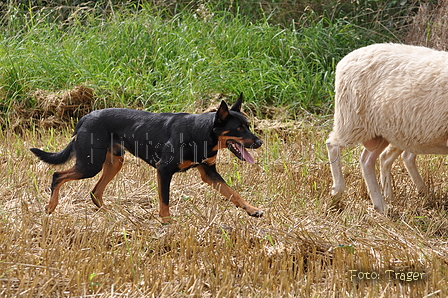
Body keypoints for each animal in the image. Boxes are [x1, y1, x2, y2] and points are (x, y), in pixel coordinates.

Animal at [30, 94, 262, 222]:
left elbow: (233, 193)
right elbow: (165, 200)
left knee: (95, 192)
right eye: (239, 129)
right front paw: (167, 223)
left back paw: (111, 213)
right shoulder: (164, 170)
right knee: (57, 175)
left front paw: (252, 210)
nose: (259, 142)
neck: (201, 133)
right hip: (90, 164)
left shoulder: (209, 172)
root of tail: (83, 119)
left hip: (114, 163)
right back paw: (50, 207)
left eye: (248, 126)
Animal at [326, 43, 448, 213]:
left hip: (384, 132)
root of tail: (346, 58)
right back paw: (337, 192)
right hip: (352, 121)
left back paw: (382, 203)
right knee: (332, 145)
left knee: (368, 160)